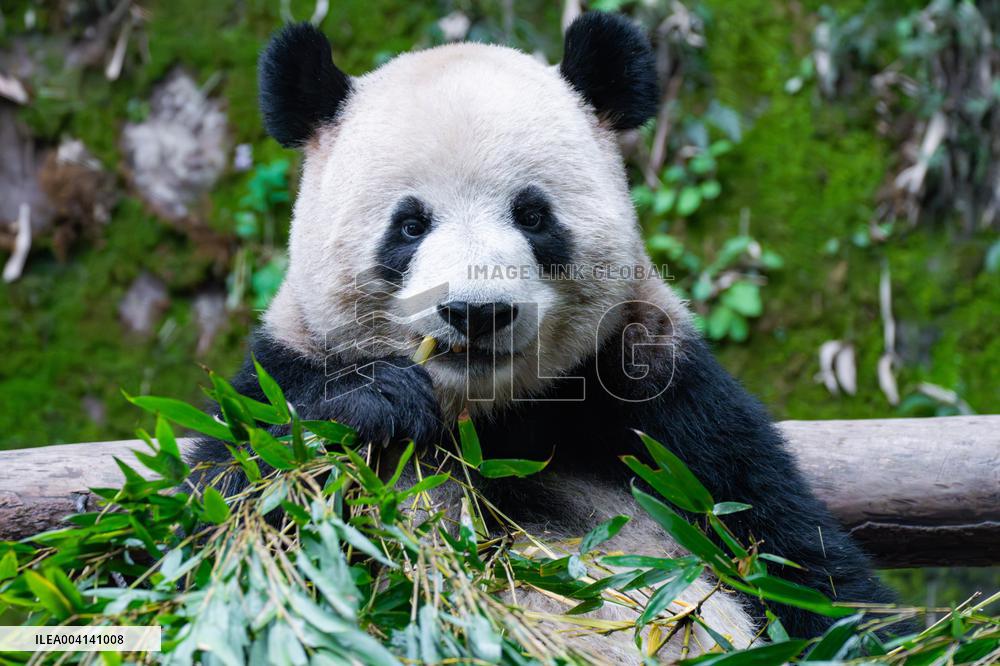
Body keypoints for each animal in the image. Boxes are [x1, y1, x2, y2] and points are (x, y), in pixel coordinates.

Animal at [191, 12, 897, 661]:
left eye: (532, 215)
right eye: (410, 225)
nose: (476, 313)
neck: (486, 420)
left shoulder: (659, 401)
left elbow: (794, 559)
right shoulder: (285, 367)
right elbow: (225, 517)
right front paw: (373, 404)